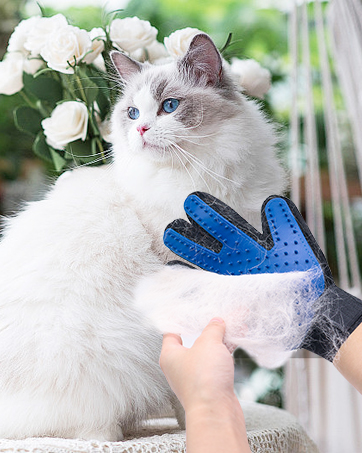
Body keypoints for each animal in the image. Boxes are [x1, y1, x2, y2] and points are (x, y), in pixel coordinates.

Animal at [0, 34, 286, 442]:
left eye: (169, 107)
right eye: (133, 114)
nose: (141, 131)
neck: (202, 177)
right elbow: (188, 379)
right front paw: (195, 424)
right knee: (87, 430)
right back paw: (111, 436)